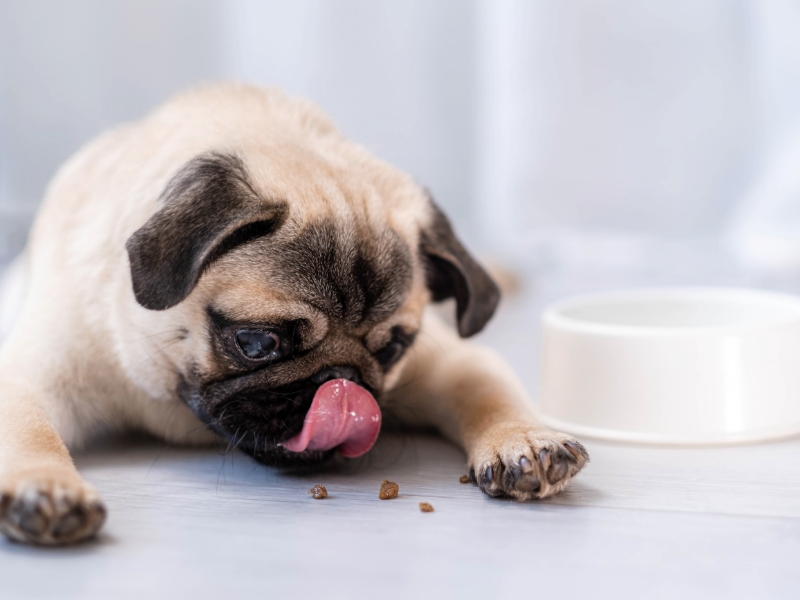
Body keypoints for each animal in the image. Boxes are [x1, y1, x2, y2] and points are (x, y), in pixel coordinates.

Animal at [0, 82, 588, 548]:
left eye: (392, 350)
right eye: (258, 343)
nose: (342, 382)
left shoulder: (448, 361)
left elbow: (488, 392)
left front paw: (526, 441)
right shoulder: (36, 374)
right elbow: (30, 430)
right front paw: (46, 488)